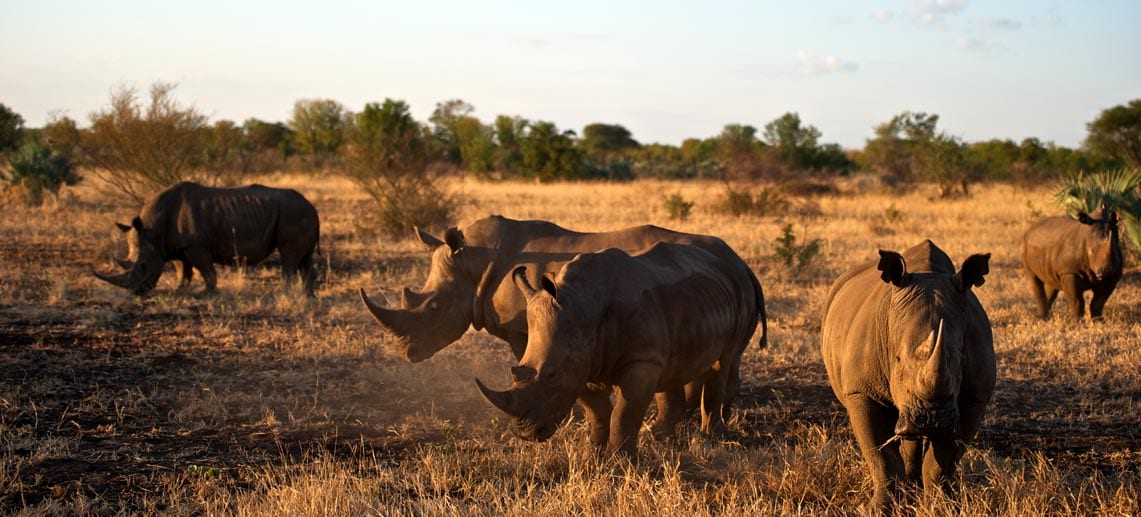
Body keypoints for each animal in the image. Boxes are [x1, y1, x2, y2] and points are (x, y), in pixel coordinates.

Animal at [93, 181, 321, 296]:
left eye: (143, 265)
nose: (136, 292)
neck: (152, 230)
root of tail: (311, 206)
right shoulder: (174, 246)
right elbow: (182, 269)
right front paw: (179, 289)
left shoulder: (195, 245)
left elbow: (206, 270)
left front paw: (205, 293)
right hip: (300, 214)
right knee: (304, 259)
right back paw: (307, 296)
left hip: (294, 213)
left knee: (289, 257)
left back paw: (286, 294)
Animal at [476, 241, 762, 456]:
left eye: (552, 375)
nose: (525, 433)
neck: (583, 305)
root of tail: (735, 264)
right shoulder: (582, 363)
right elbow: (597, 412)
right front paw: (594, 454)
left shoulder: (639, 360)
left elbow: (623, 415)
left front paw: (621, 462)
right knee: (673, 367)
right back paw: (663, 440)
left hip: (740, 293)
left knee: (724, 361)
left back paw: (710, 439)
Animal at [821, 238, 999, 511]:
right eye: (897, 360)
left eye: (960, 361)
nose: (931, 419)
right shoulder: (861, 391)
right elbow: (881, 457)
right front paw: (880, 509)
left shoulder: (975, 399)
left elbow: (943, 461)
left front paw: (942, 507)